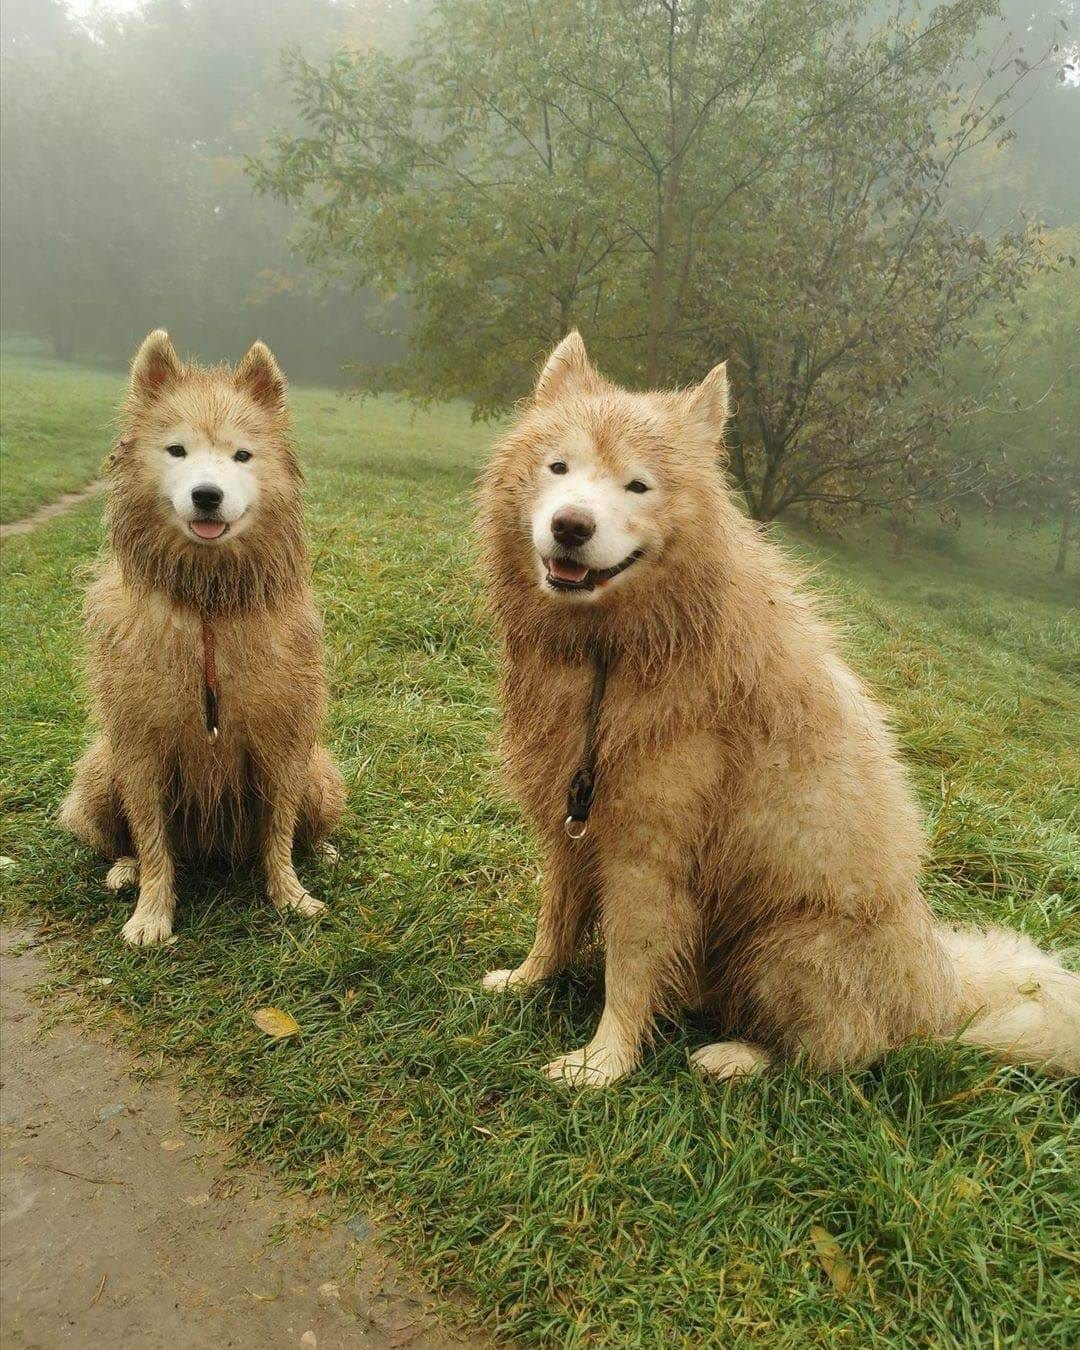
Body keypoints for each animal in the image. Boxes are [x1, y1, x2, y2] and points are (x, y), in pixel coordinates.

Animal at [60, 330, 345, 945]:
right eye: (177, 451)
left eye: (242, 455)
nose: (207, 495)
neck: (207, 603)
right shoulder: (139, 746)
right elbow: (151, 839)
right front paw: (151, 913)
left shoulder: (283, 741)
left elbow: (279, 832)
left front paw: (290, 895)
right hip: (100, 771)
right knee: (121, 839)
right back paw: (123, 871)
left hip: (321, 774)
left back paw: (323, 852)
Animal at [480, 334, 1080, 1085]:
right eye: (558, 466)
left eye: (637, 486)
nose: (570, 526)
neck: (612, 654)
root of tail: (939, 992)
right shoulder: (570, 826)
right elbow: (555, 922)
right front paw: (529, 981)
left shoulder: (648, 856)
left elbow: (629, 970)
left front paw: (603, 1064)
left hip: (783, 943)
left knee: (837, 1053)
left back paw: (737, 1055)